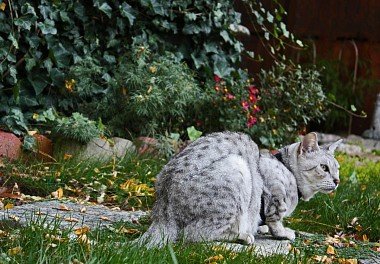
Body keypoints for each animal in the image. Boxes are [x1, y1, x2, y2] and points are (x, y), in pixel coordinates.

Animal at [138, 131, 342, 248]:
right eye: (324, 167)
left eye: (338, 168)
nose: (338, 180)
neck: (288, 169)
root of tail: (162, 212)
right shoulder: (273, 193)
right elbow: (275, 219)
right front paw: (282, 233)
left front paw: (263, 228)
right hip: (237, 167)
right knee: (193, 234)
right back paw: (242, 236)